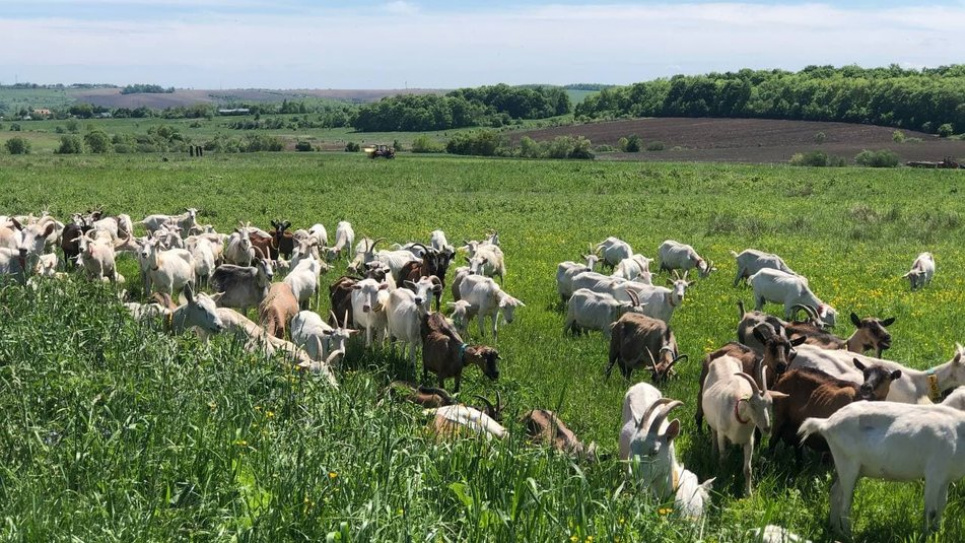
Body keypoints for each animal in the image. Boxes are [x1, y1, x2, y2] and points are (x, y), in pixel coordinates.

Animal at [696, 356, 788, 498]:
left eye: (770, 404)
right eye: (753, 405)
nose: (767, 428)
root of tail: (724, 357)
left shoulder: (749, 440)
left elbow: (747, 469)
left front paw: (748, 494)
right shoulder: (722, 434)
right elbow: (723, 460)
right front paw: (722, 479)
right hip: (713, 423)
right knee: (714, 434)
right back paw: (713, 453)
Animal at [764, 360, 900, 456]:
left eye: (885, 377)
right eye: (865, 373)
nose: (866, 387)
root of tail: (785, 374)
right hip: (780, 416)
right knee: (772, 441)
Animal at [800, 402, 965, 536]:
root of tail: (826, 423)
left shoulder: (945, 477)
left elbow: (942, 504)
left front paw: (937, 532)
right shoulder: (933, 474)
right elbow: (930, 510)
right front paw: (925, 536)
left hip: (849, 466)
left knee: (834, 493)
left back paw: (836, 530)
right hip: (847, 465)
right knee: (845, 504)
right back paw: (848, 535)